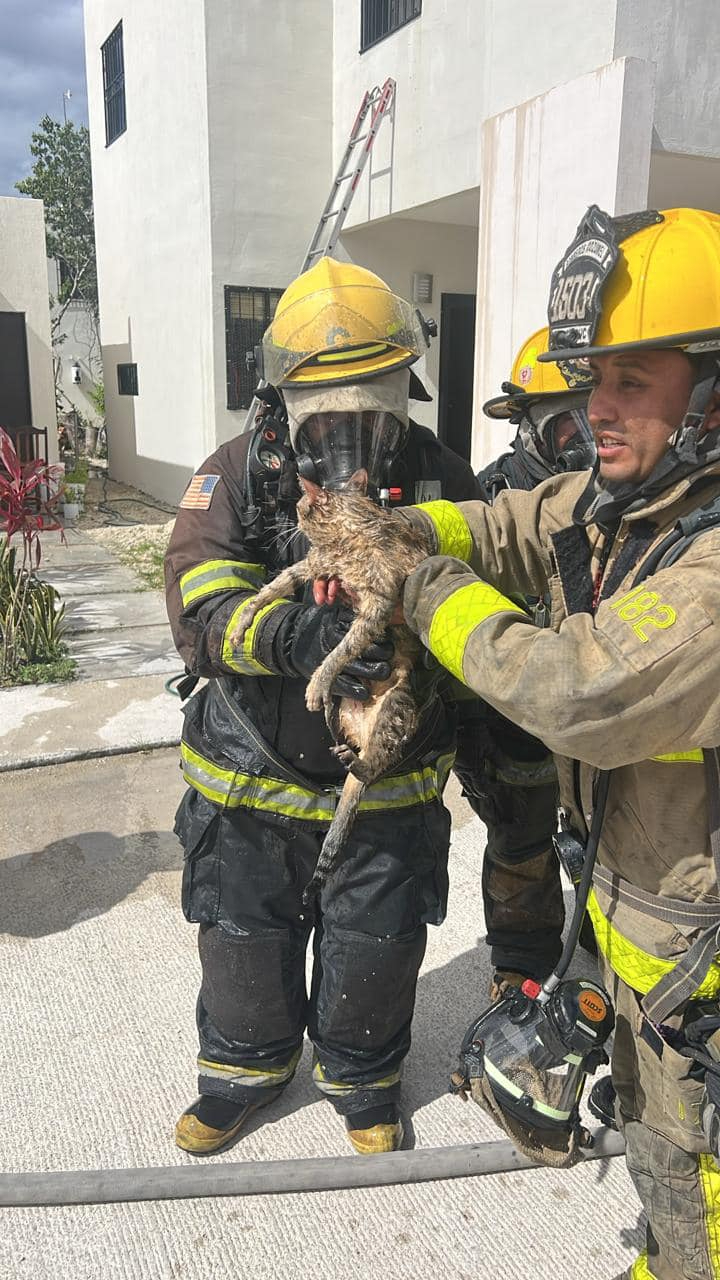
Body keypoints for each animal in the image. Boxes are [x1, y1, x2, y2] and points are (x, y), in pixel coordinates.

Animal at [229, 476, 430, 896]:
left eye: (301, 504)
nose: (291, 519)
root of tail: (362, 734)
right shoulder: (312, 567)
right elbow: (266, 592)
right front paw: (242, 624)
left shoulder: (377, 605)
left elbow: (342, 650)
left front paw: (319, 677)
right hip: (341, 708)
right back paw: (340, 747)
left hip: (397, 706)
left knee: (373, 768)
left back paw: (357, 761)